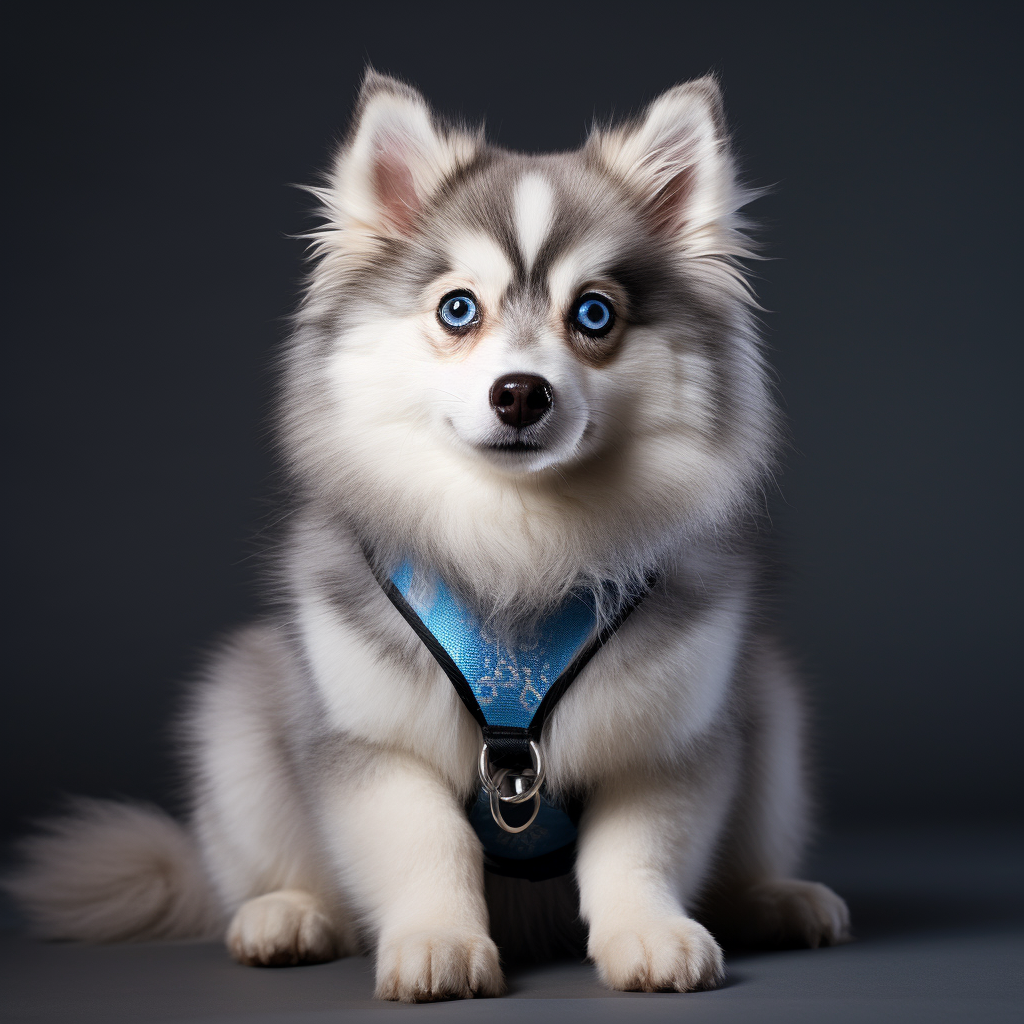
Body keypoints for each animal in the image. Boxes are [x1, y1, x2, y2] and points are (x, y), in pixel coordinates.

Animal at [6, 70, 847, 999]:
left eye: (594, 314)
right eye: (457, 309)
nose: (520, 393)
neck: (518, 539)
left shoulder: (670, 737)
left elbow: (638, 849)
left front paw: (650, 933)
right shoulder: (370, 737)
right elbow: (424, 843)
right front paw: (439, 942)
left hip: (769, 703)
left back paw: (775, 899)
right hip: (239, 704)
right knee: (269, 863)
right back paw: (285, 914)